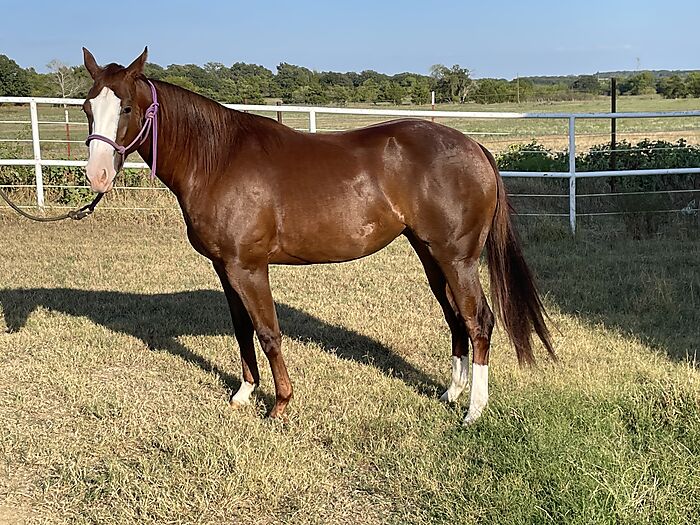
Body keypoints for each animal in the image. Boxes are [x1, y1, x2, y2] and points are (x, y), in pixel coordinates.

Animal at [81, 47, 555, 425]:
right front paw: (243, 393)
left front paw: (280, 404)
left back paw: (474, 409)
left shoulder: (249, 268)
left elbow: (268, 331)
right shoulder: (224, 267)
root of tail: (475, 148)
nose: (97, 174)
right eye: (87, 107)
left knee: (479, 322)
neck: (218, 160)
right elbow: (242, 329)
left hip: (458, 260)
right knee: (455, 318)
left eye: (126, 108)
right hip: (431, 255)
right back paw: (451, 393)